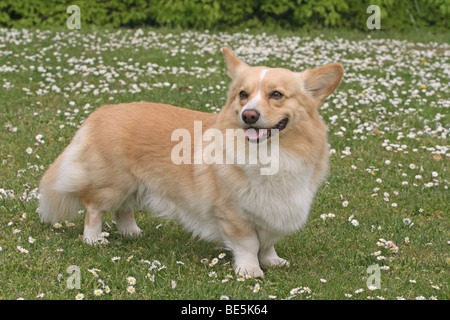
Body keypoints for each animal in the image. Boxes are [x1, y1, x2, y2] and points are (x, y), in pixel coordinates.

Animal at [38, 47, 342, 278]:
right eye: (243, 94)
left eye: (276, 94)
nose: (249, 115)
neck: (271, 153)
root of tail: (101, 112)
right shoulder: (234, 214)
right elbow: (248, 244)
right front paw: (250, 271)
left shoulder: (273, 211)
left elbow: (267, 244)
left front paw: (272, 261)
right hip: (112, 185)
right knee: (94, 210)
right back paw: (93, 239)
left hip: (135, 185)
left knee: (123, 210)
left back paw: (132, 233)